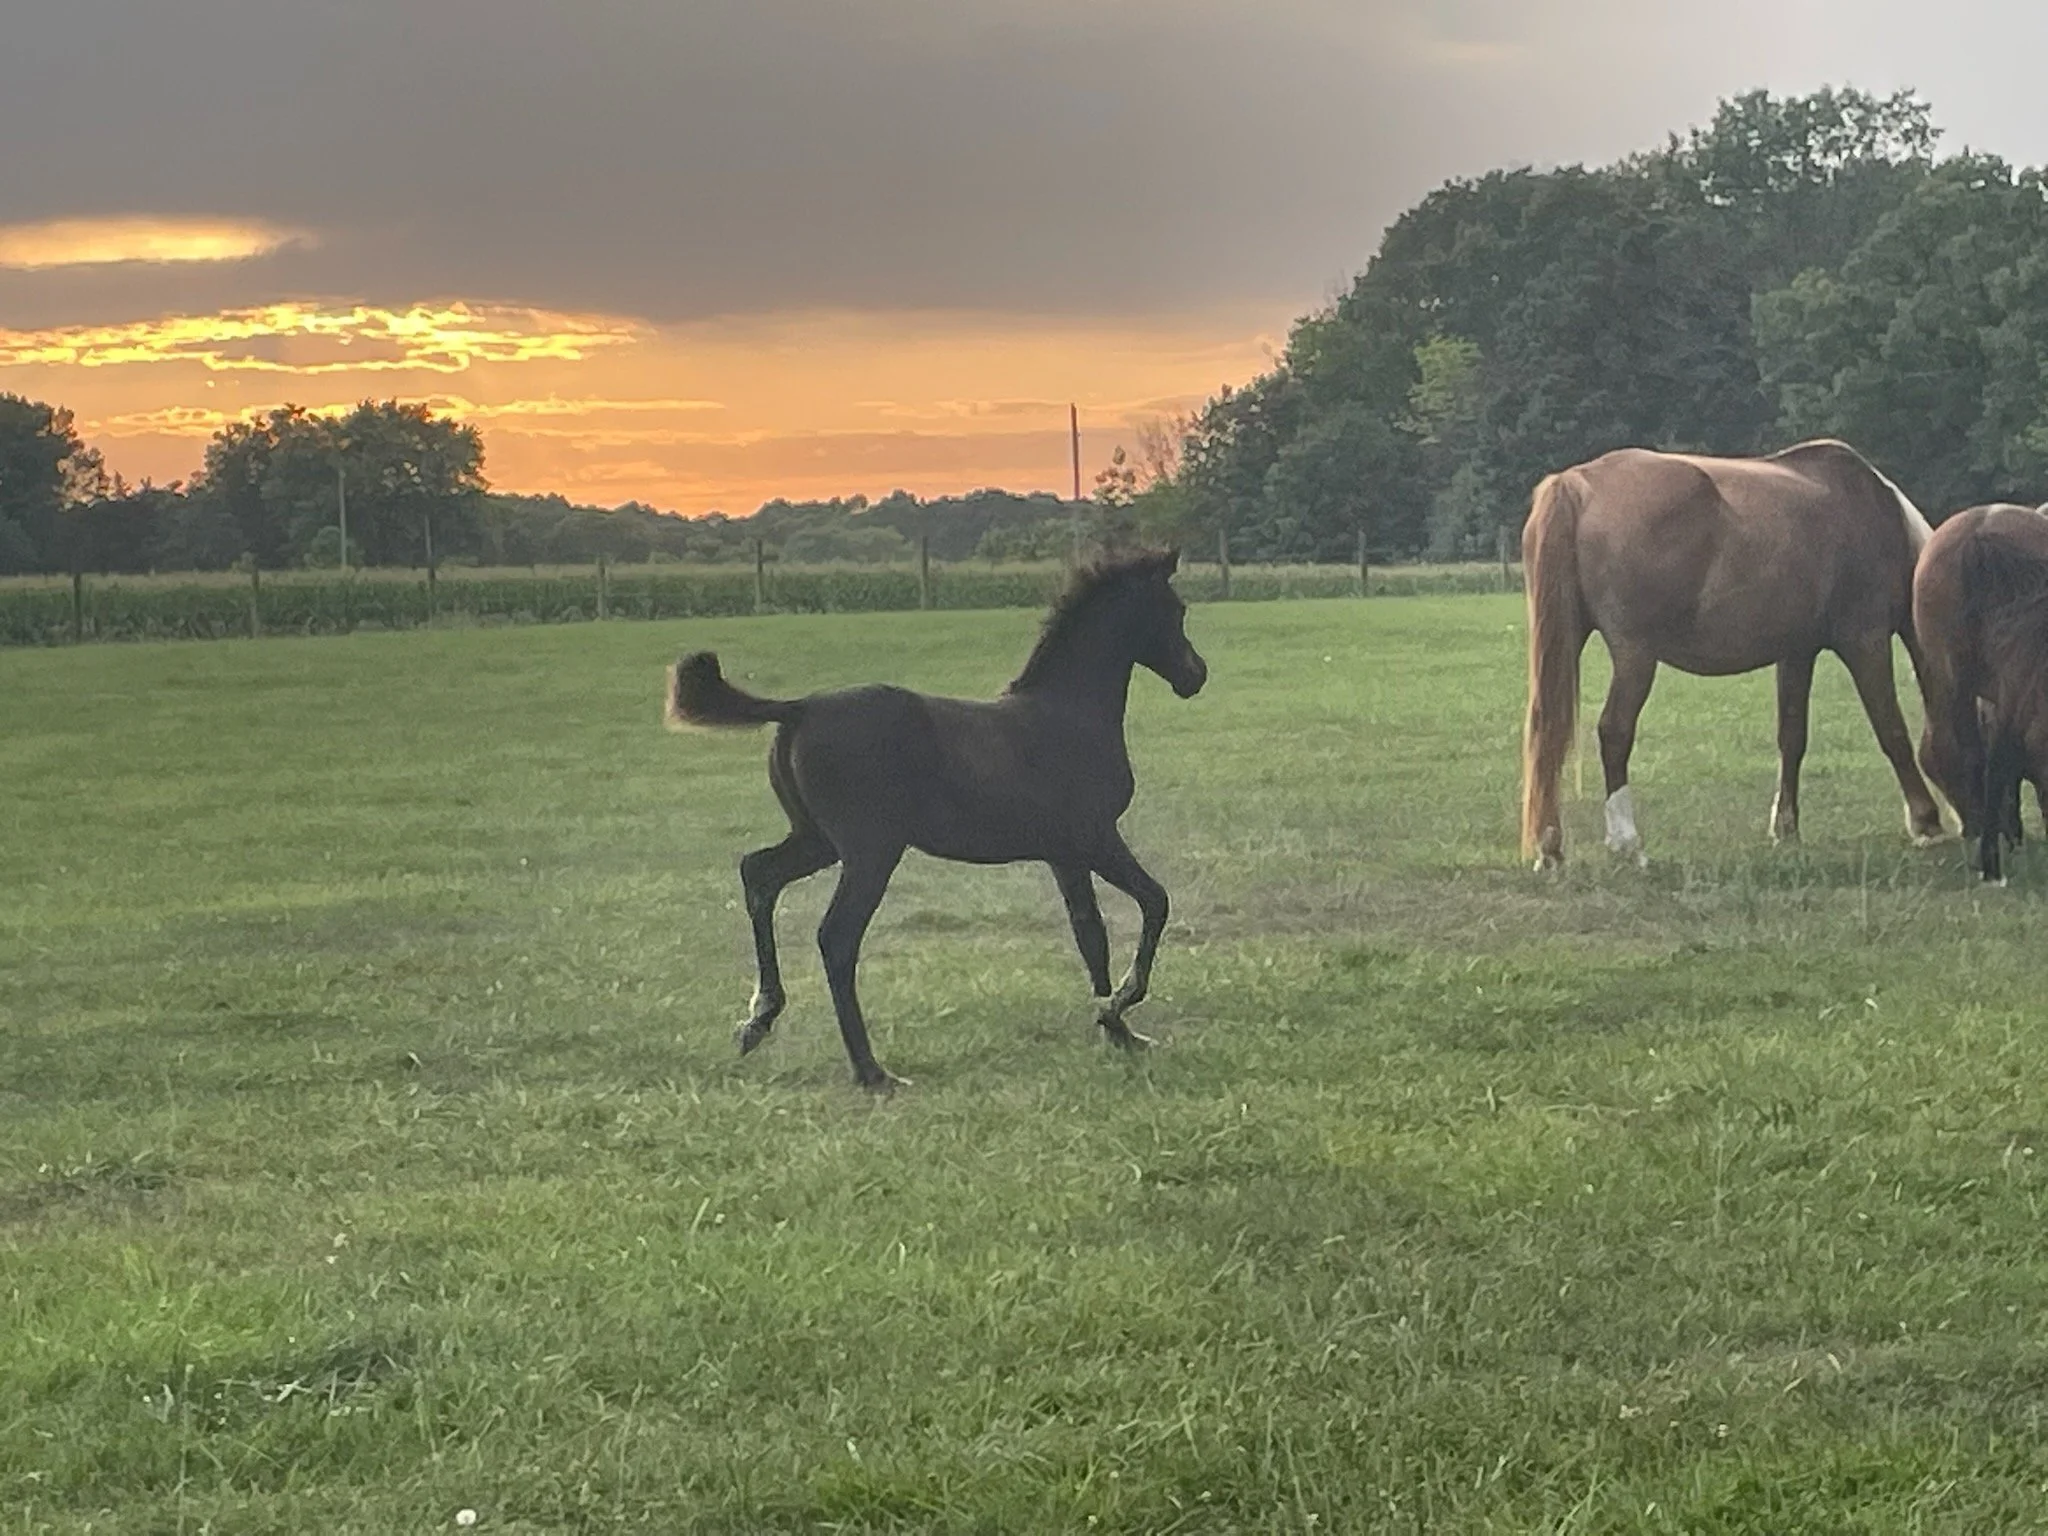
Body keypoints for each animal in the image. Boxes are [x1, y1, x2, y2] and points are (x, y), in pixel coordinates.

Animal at [664, 549, 1207, 1092]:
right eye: (1176, 610)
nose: (1196, 675)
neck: (1068, 713)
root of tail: (801, 708)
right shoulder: (1096, 838)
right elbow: (1155, 901)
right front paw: (1120, 1002)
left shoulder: (1064, 854)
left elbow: (1090, 935)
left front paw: (1117, 1029)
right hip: (870, 852)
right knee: (836, 937)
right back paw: (872, 1072)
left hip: (817, 841)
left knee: (758, 874)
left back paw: (759, 1019)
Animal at [1520, 438, 1945, 869]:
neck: (1879, 516)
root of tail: (1578, 483)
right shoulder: (1865, 640)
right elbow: (1891, 729)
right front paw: (1926, 822)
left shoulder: (1797, 652)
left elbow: (1792, 738)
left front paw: (1786, 828)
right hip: (1635, 656)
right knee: (1614, 732)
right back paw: (1626, 842)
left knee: (1548, 733)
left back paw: (1550, 848)